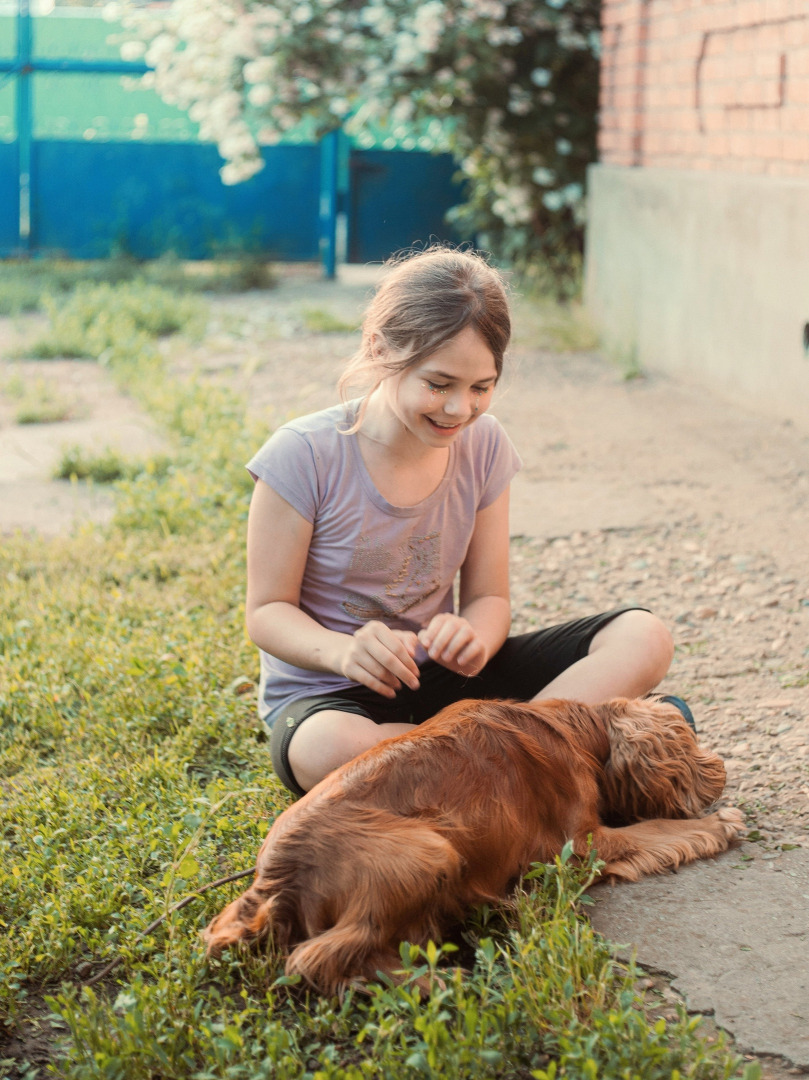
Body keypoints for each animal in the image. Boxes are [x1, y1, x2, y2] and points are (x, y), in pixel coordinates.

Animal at [203, 699, 743, 993]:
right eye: (690, 743)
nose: (719, 771)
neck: (574, 727)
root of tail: (273, 879)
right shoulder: (583, 843)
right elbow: (661, 832)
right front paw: (719, 823)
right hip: (430, 850)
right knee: (319, 959)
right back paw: (443, 984)